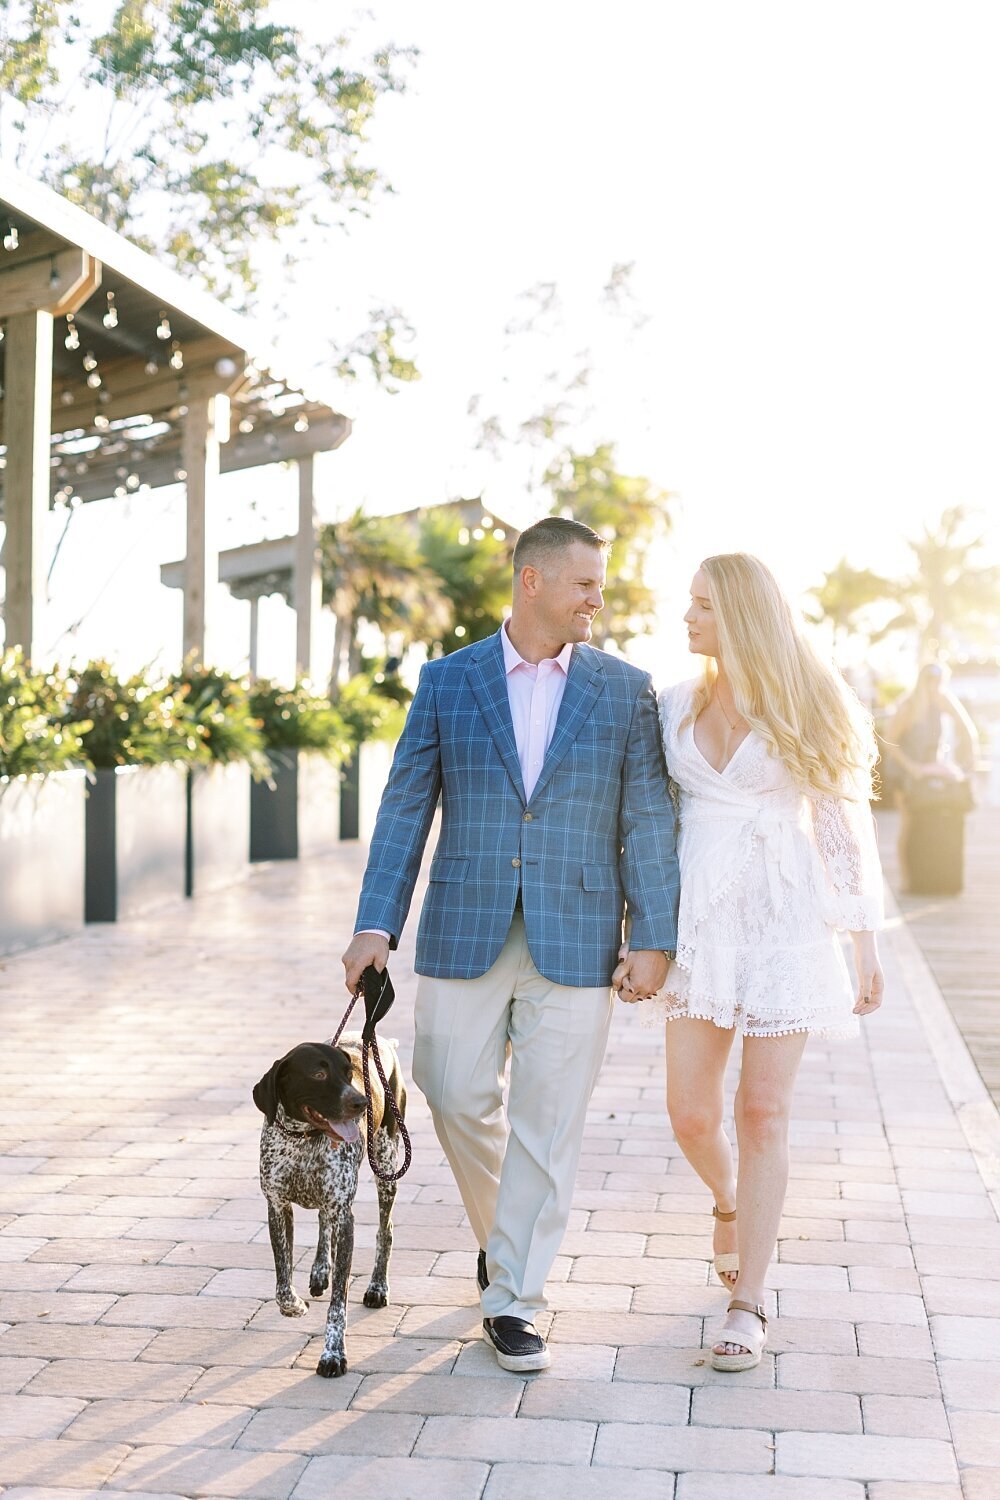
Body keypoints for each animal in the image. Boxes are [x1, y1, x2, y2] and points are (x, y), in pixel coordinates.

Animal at [254, 1038, 407, 1374]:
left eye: (349, 1073)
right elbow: (282, 1286)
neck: (303, 1141)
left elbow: (338, 1304)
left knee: (386, 1231)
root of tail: (380, 1041)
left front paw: (333, 1354)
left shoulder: (344, 1216)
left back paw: (378, 1286)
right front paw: (296, 1306)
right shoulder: (277, 1208)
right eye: (318, 1074)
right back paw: (320, 1270)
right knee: (324, 1224)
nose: (361, 1103)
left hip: (387, 1164)